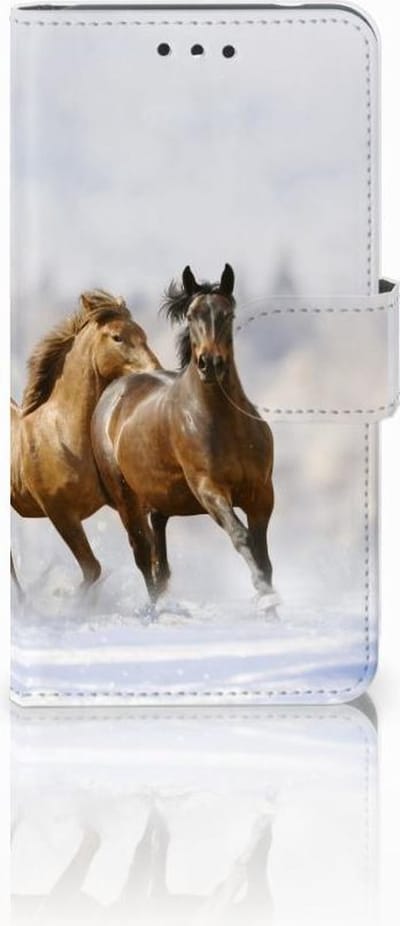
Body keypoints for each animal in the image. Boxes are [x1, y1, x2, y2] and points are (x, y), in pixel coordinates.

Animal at [11, 290, 161, 589]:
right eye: (117, 337)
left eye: (143, 334)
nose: (154, 370)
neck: (62, 435)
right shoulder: (61, 513)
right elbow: (92, 569)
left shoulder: (125, 502)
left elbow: (147, 553)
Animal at [91, 265, 276, 608]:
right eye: (191, 315)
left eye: (228, 314)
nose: (210, 363)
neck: (225, 425)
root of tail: (114, 391)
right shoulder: (209, 490)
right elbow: (241, 537)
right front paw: (266, 597)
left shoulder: (262, 494)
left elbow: (263, 554)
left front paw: (270, 603)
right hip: (126, 500)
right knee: (143, 556)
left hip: (159, 503)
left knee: (160, 562)